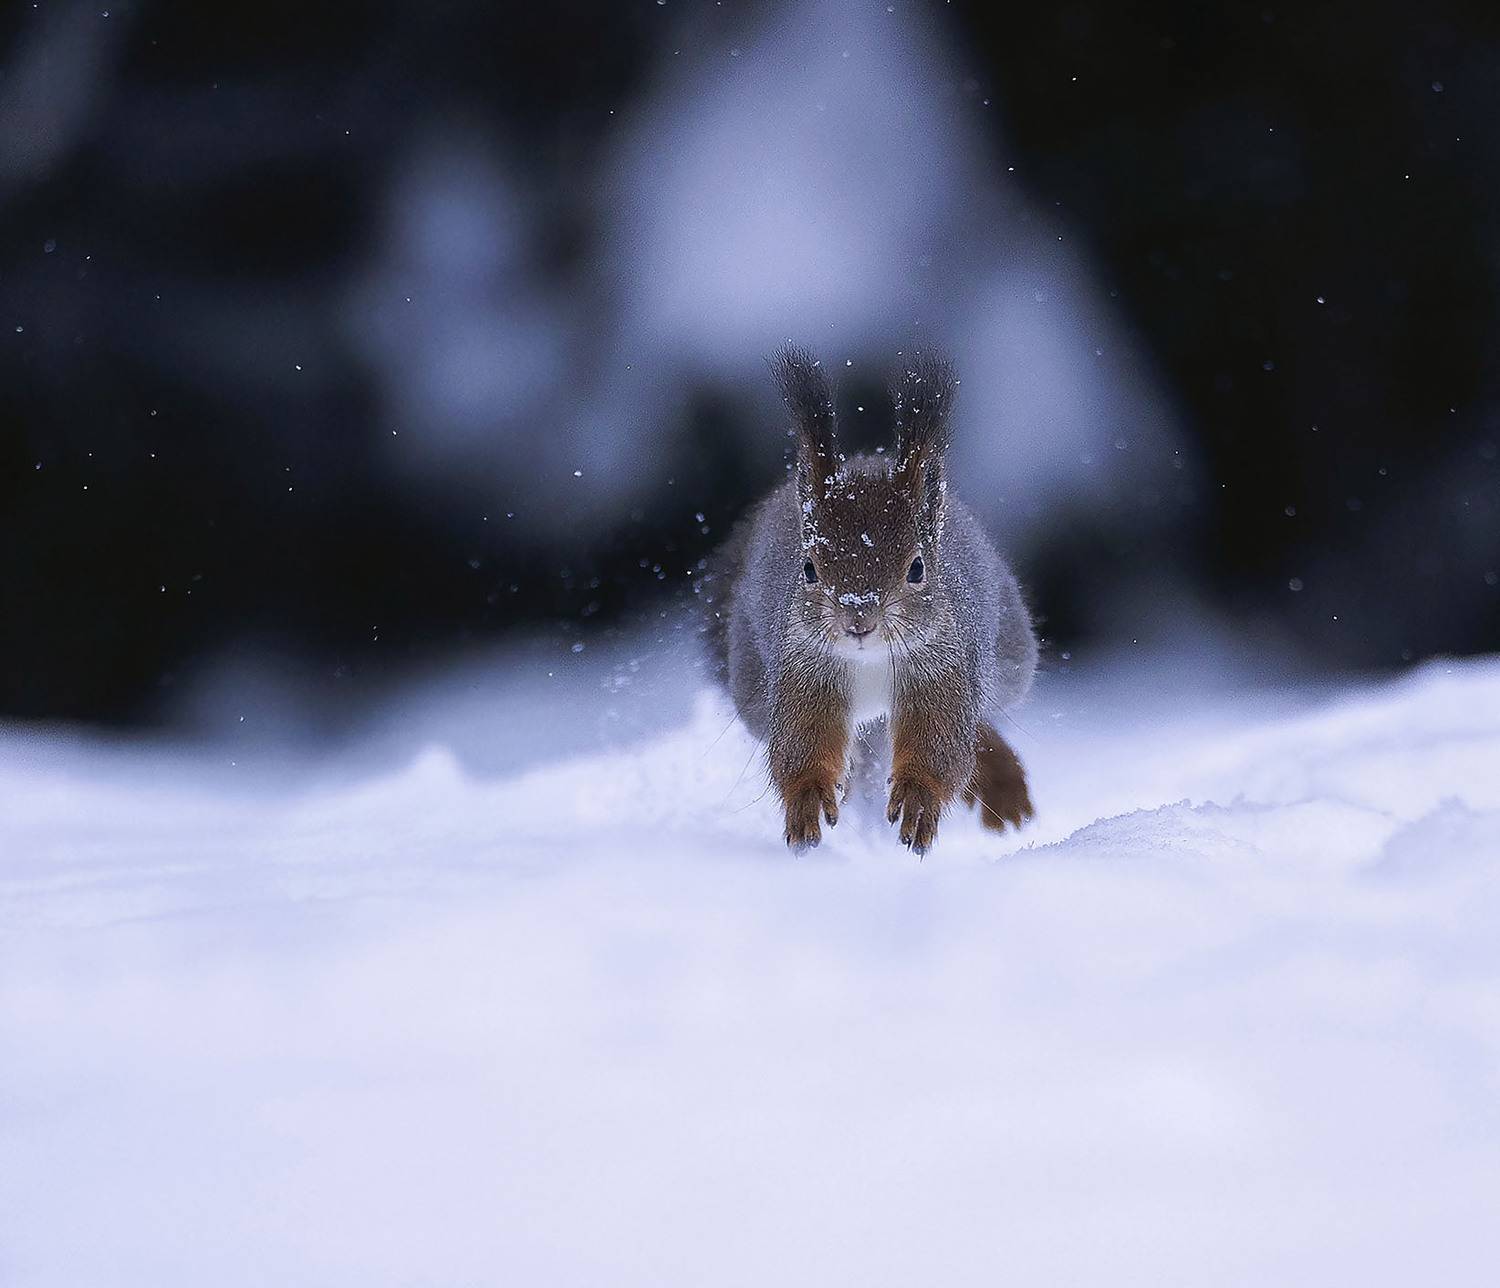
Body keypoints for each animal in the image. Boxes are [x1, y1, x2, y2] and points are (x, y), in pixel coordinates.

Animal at [704, 344, 1038, 854]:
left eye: (917, 568)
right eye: (808, 568)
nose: (857, 619)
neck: (871, 660)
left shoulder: (945, 670)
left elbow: (941, 743)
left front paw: (919, 799)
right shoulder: (804, 672)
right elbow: (803, 743)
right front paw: (809, 799)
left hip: (1009, 663)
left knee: (980, 723)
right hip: (753, 688)